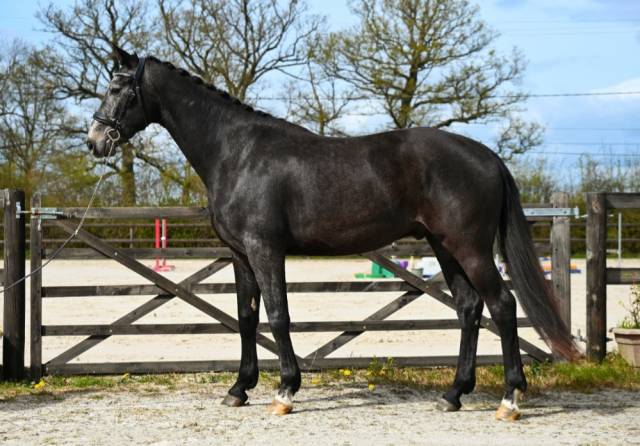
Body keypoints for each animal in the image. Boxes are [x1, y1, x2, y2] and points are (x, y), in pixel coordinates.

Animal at [86, 46, 579, 420]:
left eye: (117, 88)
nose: (94, 142)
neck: (237, 153)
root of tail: (487, 156)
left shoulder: (265, 250)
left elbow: (277, 315)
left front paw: (285, 392)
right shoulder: (241, 255)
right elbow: (246, 317)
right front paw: (239, 389)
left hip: (470, 248)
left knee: (503, 305)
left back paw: (510, 400)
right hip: (444, 247)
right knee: (469, 308)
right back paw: (454, 394)